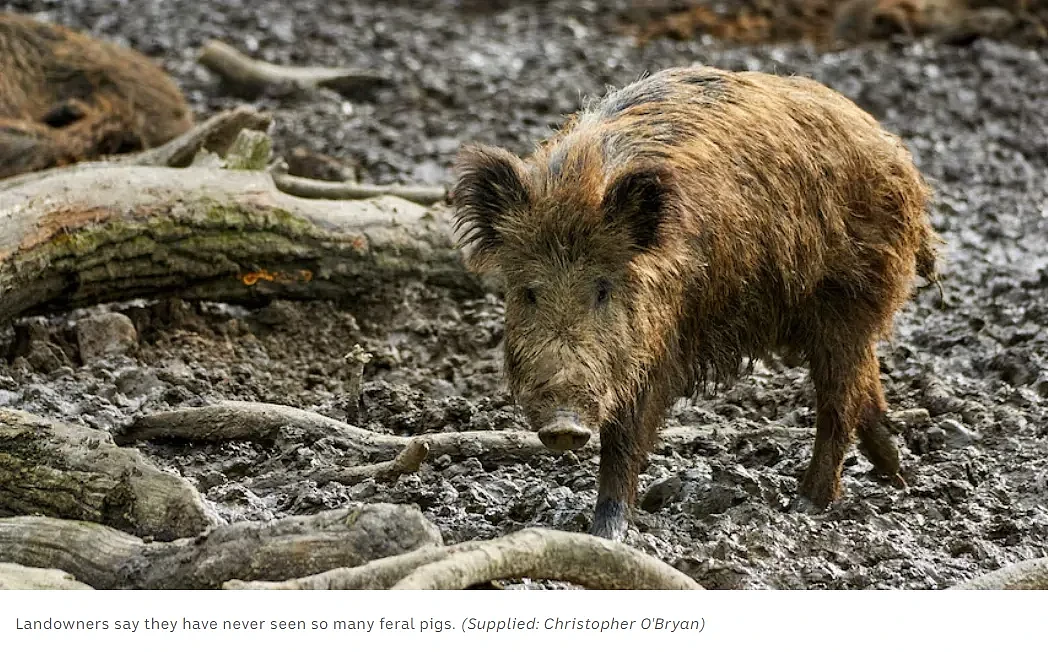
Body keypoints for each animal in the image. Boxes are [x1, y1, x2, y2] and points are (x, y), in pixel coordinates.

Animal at [450, 69, 943, 545]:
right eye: (529, 292)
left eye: (603, 289)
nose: (563, 428)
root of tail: (897, 157)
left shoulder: (659, 342)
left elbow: (627, 434)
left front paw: (606, 534)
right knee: (866, 383)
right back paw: (895, 475)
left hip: (848, 298)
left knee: (839, 400)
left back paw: (806, 504)